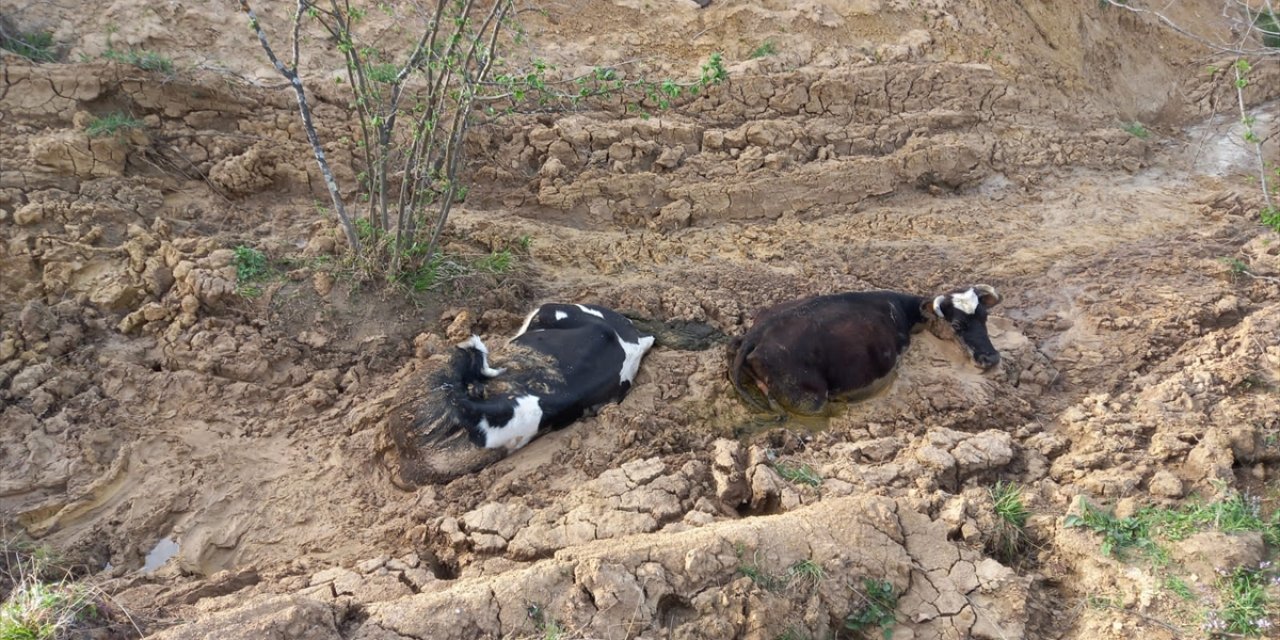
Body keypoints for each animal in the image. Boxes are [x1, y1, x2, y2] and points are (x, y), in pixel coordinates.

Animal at [727, 285, 1003, 414]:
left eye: (985, 316)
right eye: (957, 324)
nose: (991, 357)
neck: (902, 310)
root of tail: (755, 334)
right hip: (809, 398)